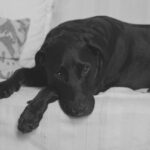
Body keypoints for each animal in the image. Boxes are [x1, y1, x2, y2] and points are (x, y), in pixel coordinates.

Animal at [0, 15, 150, 132]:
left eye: (85, 69)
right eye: (59, 74)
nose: (79, 110)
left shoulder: (96, 86)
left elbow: (49, 89)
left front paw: (30, 114)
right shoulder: (43, 72)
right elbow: (20, 71)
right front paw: (5, 86)